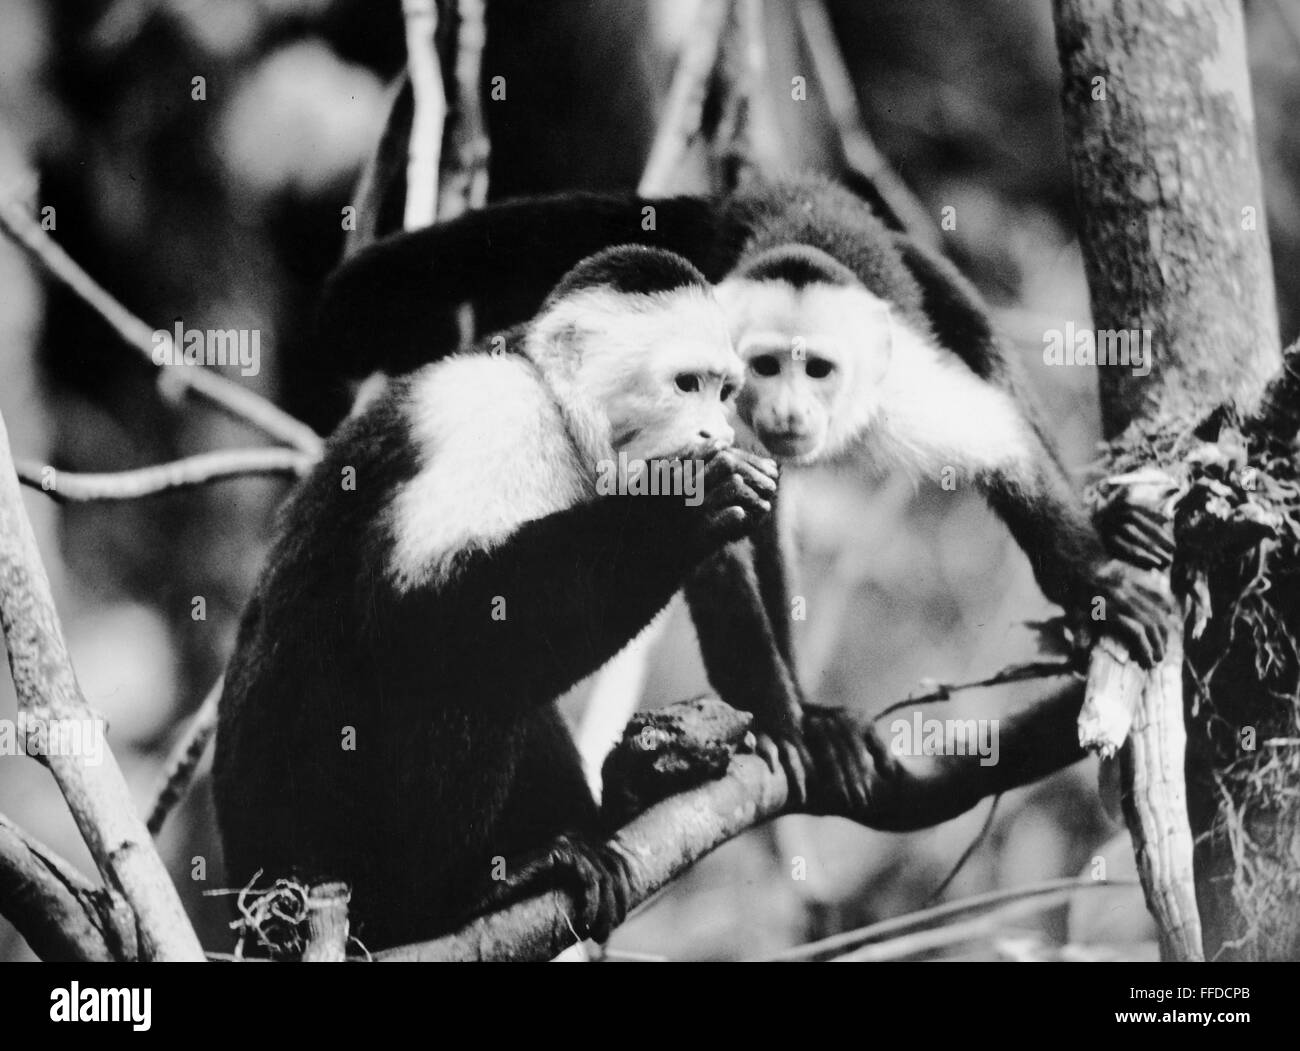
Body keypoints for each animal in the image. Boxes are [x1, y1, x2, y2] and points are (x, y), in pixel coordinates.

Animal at [213, 245, 781, 951]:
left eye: (724, 392)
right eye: (685, 384)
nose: (715, 433)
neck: (560, 414)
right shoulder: (493, 415)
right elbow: (421, 620)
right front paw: (686, 511)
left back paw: (628, 794)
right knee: (455, 674)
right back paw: (449, 898)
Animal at [314, 174, 1173, 814]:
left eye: (814, 369)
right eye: (761, 368)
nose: (786, 414)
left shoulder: (901, 389)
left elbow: (1002, 442)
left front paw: (1094, 582)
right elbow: (704, 538)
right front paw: (781, 718)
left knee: (979, 339)